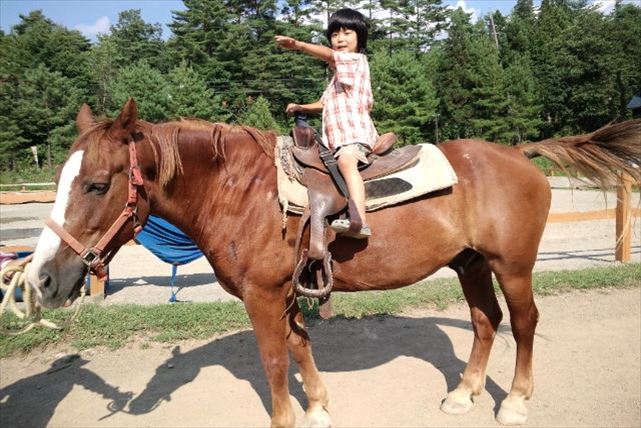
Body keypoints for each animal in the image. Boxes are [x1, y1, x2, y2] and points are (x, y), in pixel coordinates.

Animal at [26, 99, 640, 427]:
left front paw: (286, 417)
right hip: (469, 264)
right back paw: (464, 393)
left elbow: (275, 360)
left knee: (524, 322)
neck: (241, 192)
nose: (43, 281)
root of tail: (519, 153)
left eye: (96, 183)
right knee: (485, 322)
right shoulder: (286, 292)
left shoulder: (262, 296)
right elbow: (300, 348)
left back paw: (512, 401)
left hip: (511, 265)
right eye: (59, 179)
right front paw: (318, 407)